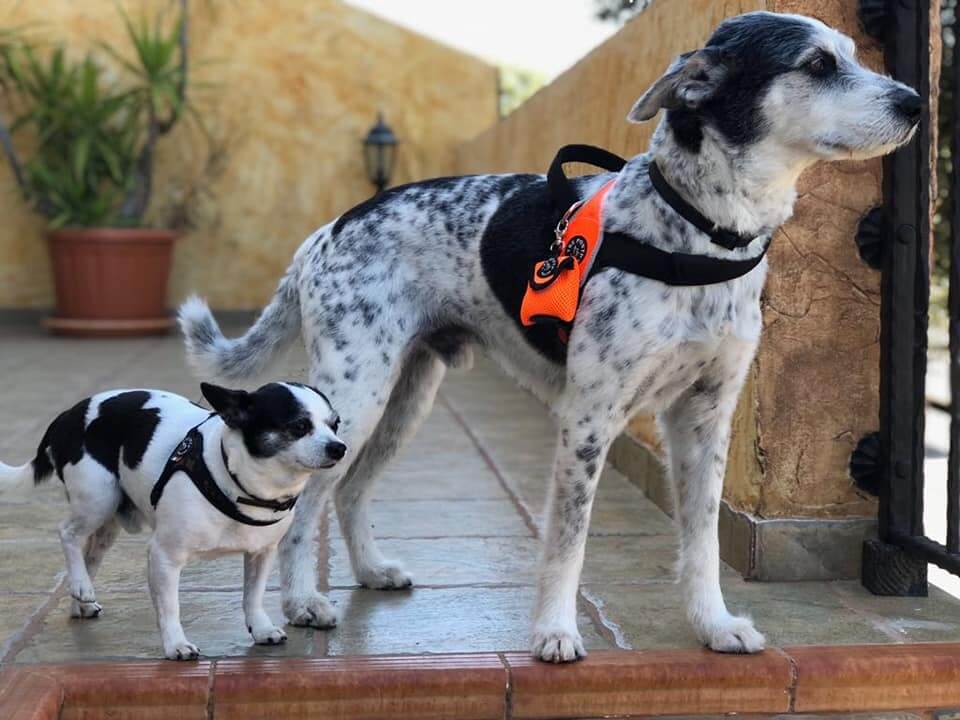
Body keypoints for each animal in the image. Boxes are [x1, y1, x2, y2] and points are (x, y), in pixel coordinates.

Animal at [0, 382, 344, 660]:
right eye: (299, 426)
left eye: (336, 424)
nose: (339, 447)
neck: (236, 484)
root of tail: (69, 414)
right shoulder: (164, 556)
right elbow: (169, 608)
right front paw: (176, 645)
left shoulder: (261, 553)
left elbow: (253, 596)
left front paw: (260, 628)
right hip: (97, 499)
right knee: (67, 533)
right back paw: (81, 585)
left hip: (108, 521)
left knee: (90, 555)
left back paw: (80, 596)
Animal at [178, 12, 924, 664]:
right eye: (818, 65)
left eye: (854, 55)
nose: (917, 103)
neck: (699, 231)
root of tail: (324, 232)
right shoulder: (589, 417)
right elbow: (568, 540)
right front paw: (555, 634)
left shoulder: (706, 417)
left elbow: (704, 541)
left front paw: (713, 626)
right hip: (354, 398)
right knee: (309, 502)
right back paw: (303, 601)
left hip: (405, 398)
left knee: (352, 490)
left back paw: (370, 570)